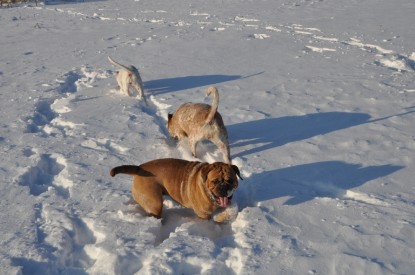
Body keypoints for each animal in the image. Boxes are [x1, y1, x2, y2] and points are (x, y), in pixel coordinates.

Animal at [110, 158, 242, 223]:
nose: (224, 189)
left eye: (230, 180)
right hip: (154, 201)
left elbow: (232, 209)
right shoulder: (203, 214)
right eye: (215, 181)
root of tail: (139, 168)